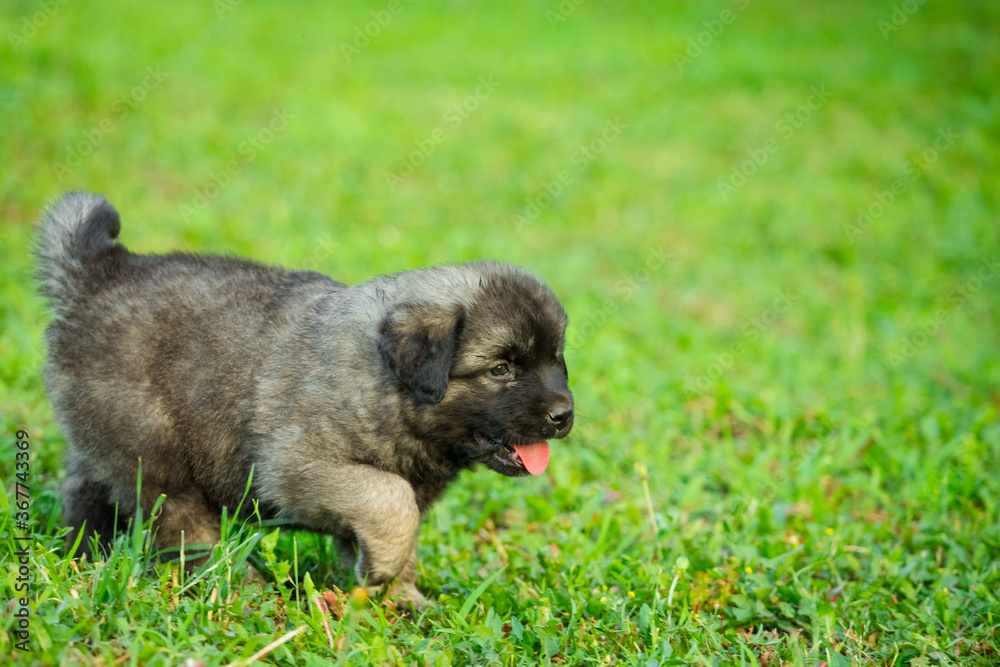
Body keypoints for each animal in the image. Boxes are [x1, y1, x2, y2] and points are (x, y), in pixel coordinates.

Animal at [37, 193, 572, 612]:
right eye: (501, 369)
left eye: (557, 360)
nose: (563, 416)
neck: (386, 386)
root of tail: (101, 273)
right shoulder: (299, 467)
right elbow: (390, 500)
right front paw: (383, 572)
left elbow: (401, 528)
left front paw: (401, 596)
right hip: (157, 453)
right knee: (183, 529)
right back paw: (237, 586)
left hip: (109, 439)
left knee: (84, 486)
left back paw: (84, 554)